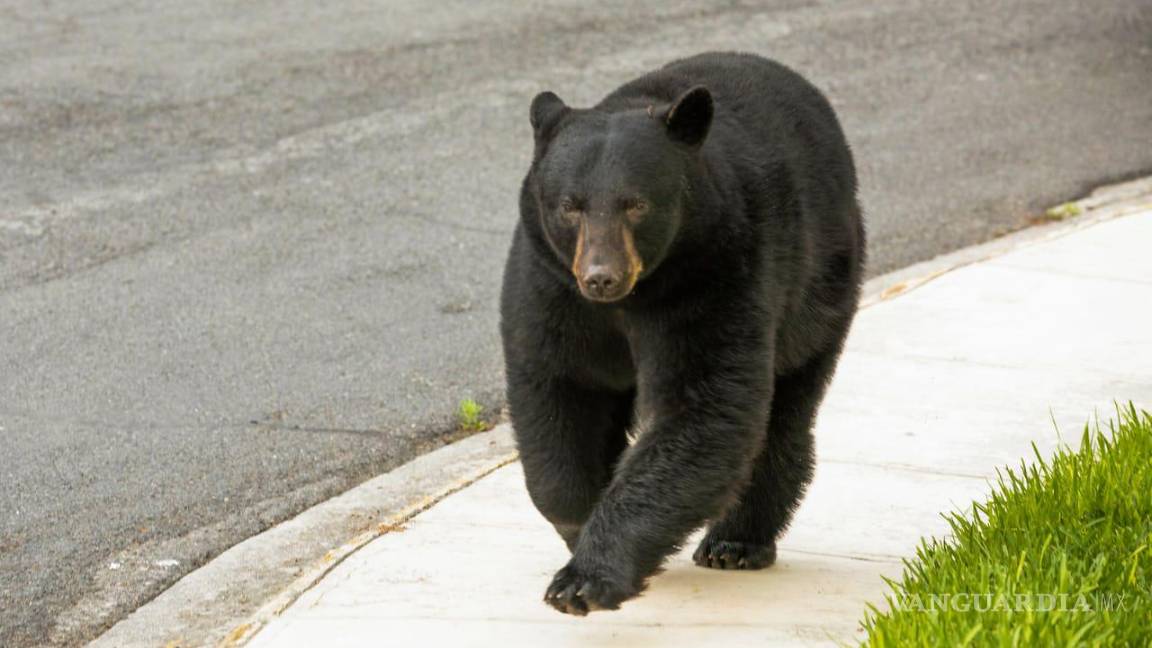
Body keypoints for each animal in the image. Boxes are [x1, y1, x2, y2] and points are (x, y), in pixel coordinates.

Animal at [497, 49, 866, 608]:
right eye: (570, 205)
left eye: (636, 203)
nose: (601, 276)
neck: (634, 298)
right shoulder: (551, 286)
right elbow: (561, 390)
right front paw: (579, 525)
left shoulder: (716, 274)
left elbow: (704, 408)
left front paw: (586, 577)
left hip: (821, 287)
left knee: (784, 410)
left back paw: (737, 542)